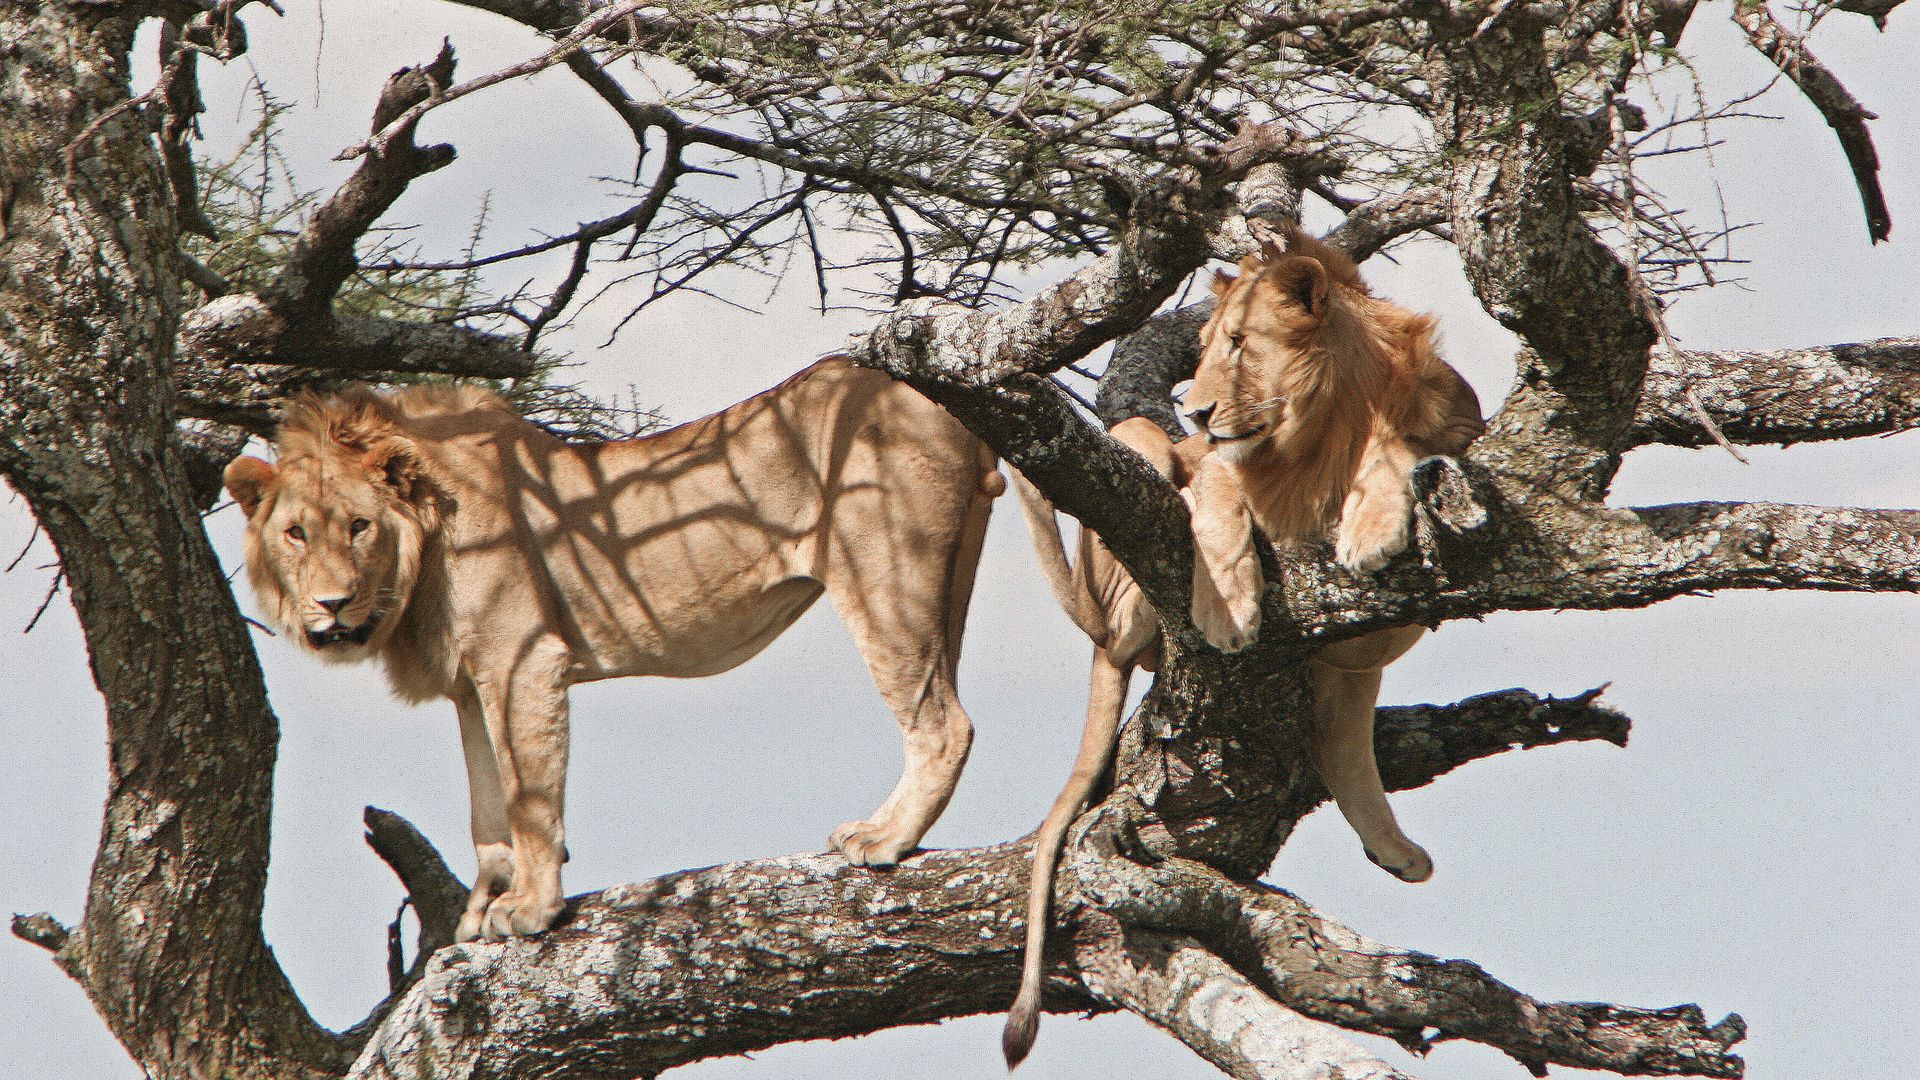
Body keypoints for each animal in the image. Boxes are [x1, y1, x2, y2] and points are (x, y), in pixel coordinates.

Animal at [223, 358, 1003, 940]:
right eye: (296, 533)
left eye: (359, 526)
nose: (331, 604)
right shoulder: (474, 682)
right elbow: (487, 808)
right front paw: (484, 905)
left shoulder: (522, 659)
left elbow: (528, 797)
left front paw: (531, 909)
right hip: (946, 584)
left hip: (883, 574)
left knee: (944, 724)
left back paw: (883, 838)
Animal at [1003, 225, 1485, 1064]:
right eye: (1201, 349)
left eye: (1237, 344)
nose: (1194, 411)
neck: (1320, 434)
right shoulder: (1216, 466)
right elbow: (1218, 491)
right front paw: (1227, 606)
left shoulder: (1461, 432)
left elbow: (1402, 450)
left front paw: (1372, 523)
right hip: (1131, 471)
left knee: (1339, 738)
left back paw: (1395, 850)